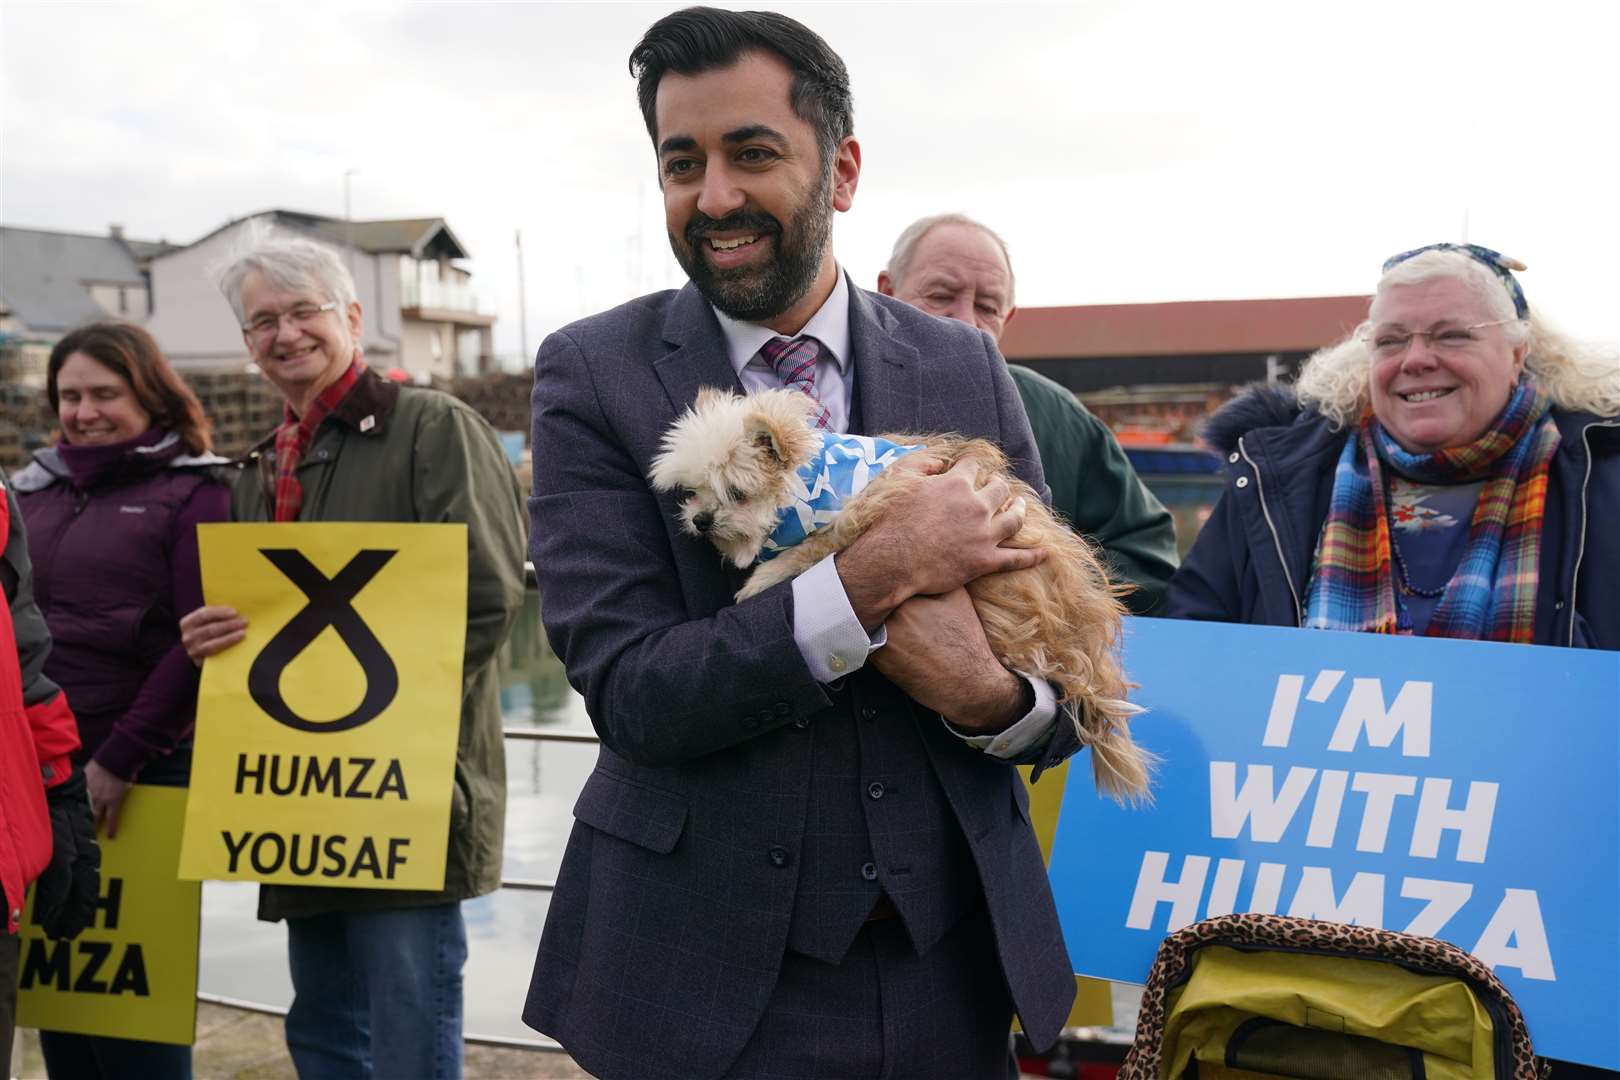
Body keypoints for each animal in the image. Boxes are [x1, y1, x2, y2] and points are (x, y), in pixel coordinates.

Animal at [648, 388, 1153, 803]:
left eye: (736, 493)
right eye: (694, 491)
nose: (700, 520)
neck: (813, 481)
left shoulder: (860, 512)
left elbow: (812, 547)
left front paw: (763, 575)